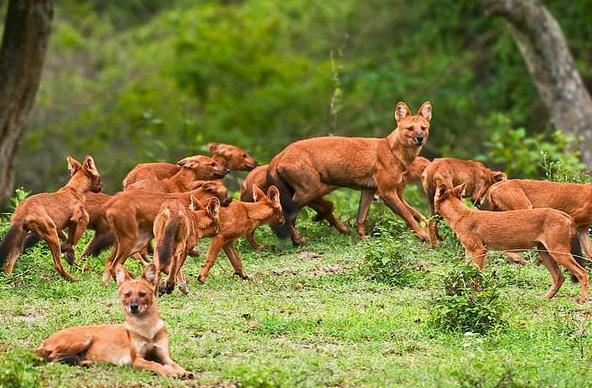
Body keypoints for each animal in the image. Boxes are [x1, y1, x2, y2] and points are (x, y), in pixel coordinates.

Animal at [37, 264, 193, 378]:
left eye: (142, 294)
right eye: (127, 294)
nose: (133, 307)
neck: (145, 328)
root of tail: (44, 341)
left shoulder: (164, 355)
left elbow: (175, 364)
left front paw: (183, 372)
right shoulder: (137, 359)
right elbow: (156, 365)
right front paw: (170, 372)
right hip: (85, 337)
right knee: (50, 357)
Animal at [434, 183, 588, 302]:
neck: (460, 215)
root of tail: (564, 214)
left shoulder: (479, 250)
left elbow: (477, 274)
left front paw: (478, 294)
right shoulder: (468, 251)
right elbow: (466, 272)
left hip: (558, 252)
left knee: (583, 272)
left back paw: (582, 299)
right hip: (544, 253)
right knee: (559, 277)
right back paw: (544, 298)